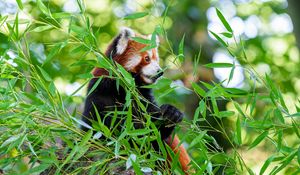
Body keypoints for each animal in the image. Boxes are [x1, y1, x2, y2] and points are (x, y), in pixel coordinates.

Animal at [81, 28, 191, 173]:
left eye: (156, 59)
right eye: (147, 58)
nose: (160, 72)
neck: (125, 89)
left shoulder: (144, 99)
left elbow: (155, 136)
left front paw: (170, 114)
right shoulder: (99, 93)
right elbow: (103, 129)